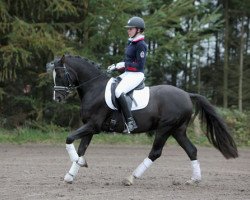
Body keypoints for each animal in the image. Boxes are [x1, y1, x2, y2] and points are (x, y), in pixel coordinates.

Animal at [47, 55, 238, 186]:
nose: (57, 98)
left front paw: (79, 163)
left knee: (155, 152)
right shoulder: (90, 127)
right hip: (177, 130)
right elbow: (81, 149)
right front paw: (71, 175)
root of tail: (186, 94)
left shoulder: (93, 126)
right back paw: (194, 180)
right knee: (191, 150)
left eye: (61, 74)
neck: (95, 88)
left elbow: (69, 139)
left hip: (165, 128)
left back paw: (131, 177)